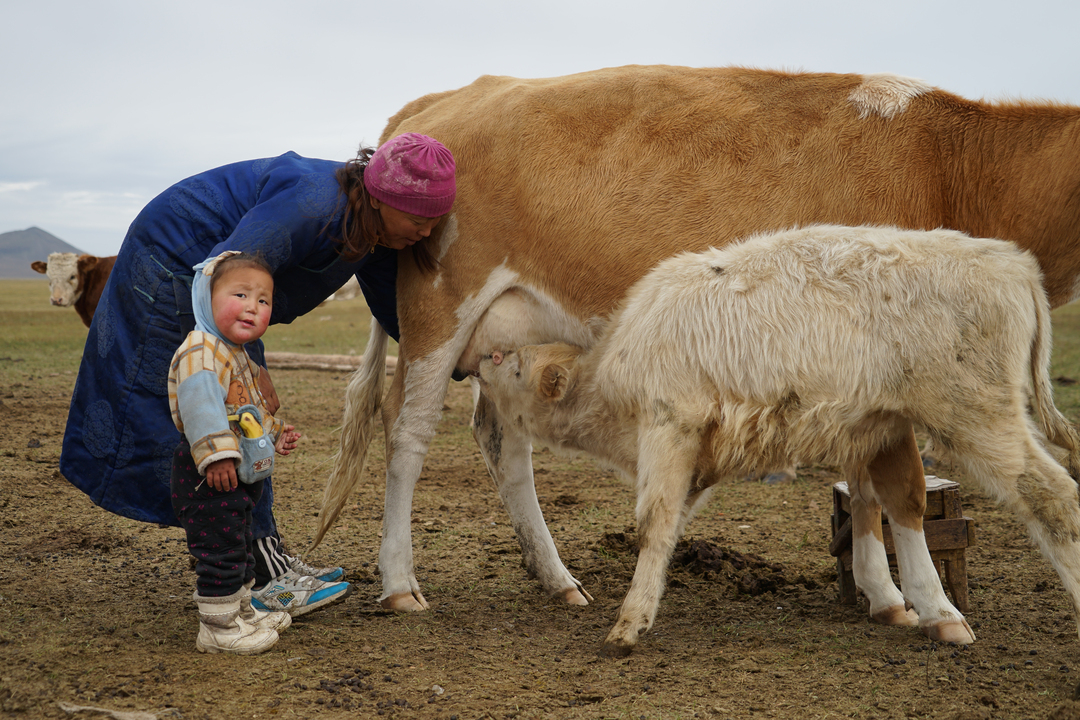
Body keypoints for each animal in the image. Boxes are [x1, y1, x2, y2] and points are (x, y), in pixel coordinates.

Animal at [477, 226, 1080, 660]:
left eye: (509, 361)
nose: (477, 360)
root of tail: (1011, 261)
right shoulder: (701, 454)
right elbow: (672, 522)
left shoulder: (671, 425)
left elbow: (654, 520)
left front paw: (627, 625)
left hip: (978, 415)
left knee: (1054, 497)